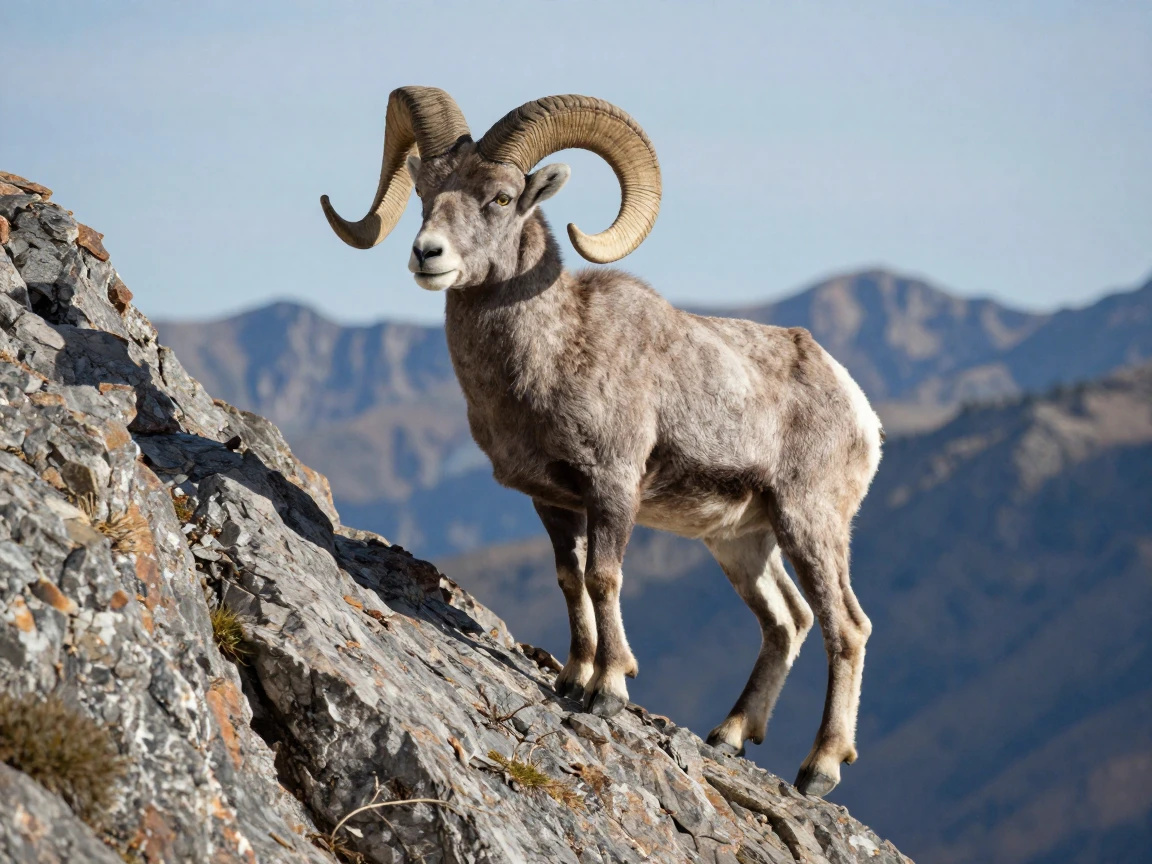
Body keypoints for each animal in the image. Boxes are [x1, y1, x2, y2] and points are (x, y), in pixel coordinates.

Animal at [322, 87, 883, 797]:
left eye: (501, 197)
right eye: (424, 191)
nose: (428, 254)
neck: (555, 349)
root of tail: (859, 409)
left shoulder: (613, 487)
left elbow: (604, 576)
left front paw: (611, 689)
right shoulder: (555, 502)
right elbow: (571, 580)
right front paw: (573, 679)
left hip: (810, 523)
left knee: (847, 628)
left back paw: (819, 769)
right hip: (742, 543)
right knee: (788, 622)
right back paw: (728, 737)